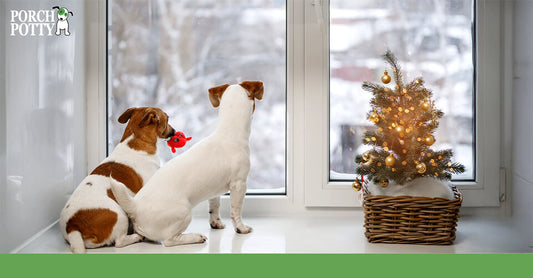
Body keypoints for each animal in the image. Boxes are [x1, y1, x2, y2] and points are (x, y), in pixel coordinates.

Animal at [58, 107, 175, 254]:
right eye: (168, 118)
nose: (174, 131)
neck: (135, 141)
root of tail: (72, 225)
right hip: (119, 214)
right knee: (119, 242)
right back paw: (136, 237)